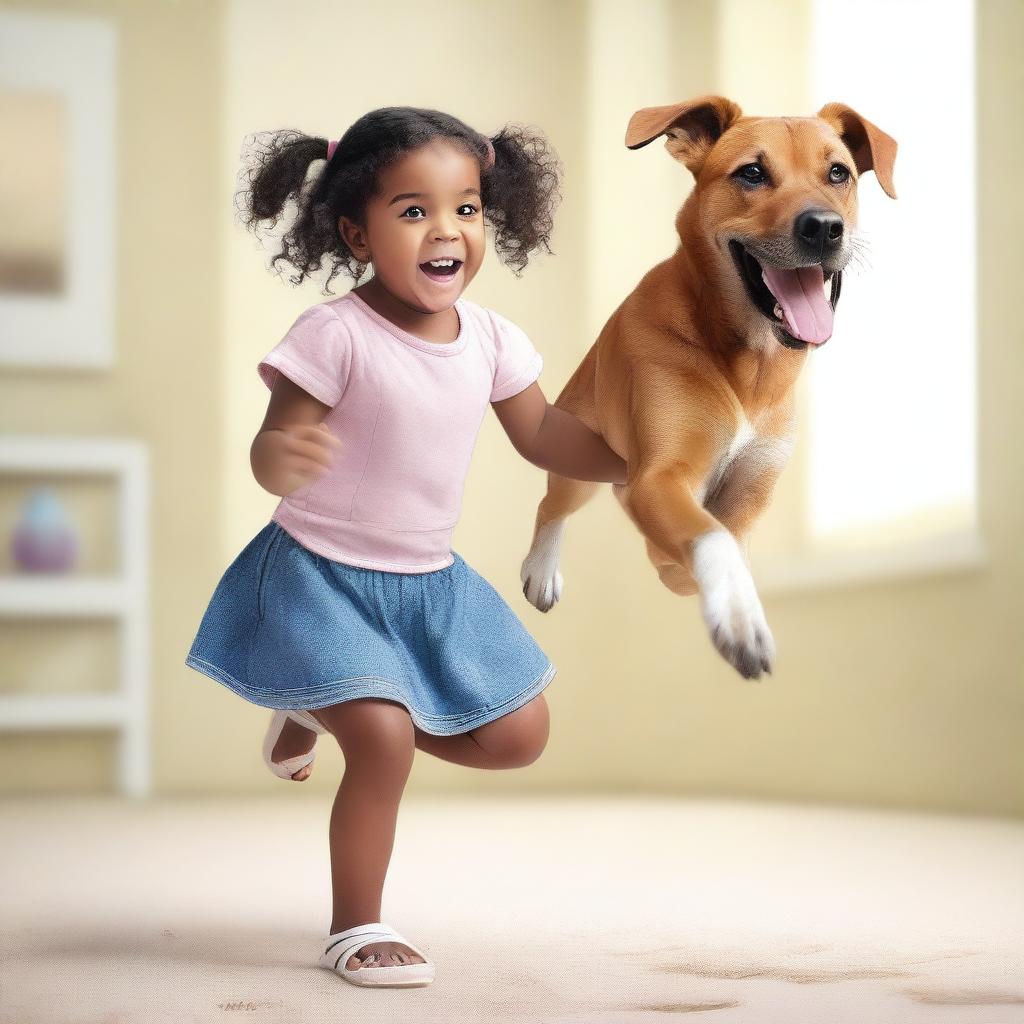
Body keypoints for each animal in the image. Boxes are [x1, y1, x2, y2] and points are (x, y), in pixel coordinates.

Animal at [520, 97, 897, 679]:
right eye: (752, 173)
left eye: (839, 173)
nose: (823, 228)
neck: (750, 366)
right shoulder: (661, 476)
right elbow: (711, 536)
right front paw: (739, 616)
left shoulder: (754, 485)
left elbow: (725, 537)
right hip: (578, 466)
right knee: (551, 505)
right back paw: (540, 570)